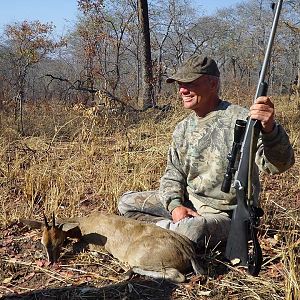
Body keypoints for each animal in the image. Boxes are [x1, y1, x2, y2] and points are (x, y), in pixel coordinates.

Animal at [20, 212, 204, 282]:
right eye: (43, 242)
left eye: (58, 242)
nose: (51, 261)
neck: (84, 224)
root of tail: (188, 251)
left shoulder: (94, 244)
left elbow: (77, 246)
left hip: (139, 256)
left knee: (178, 276)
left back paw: (127, 271)